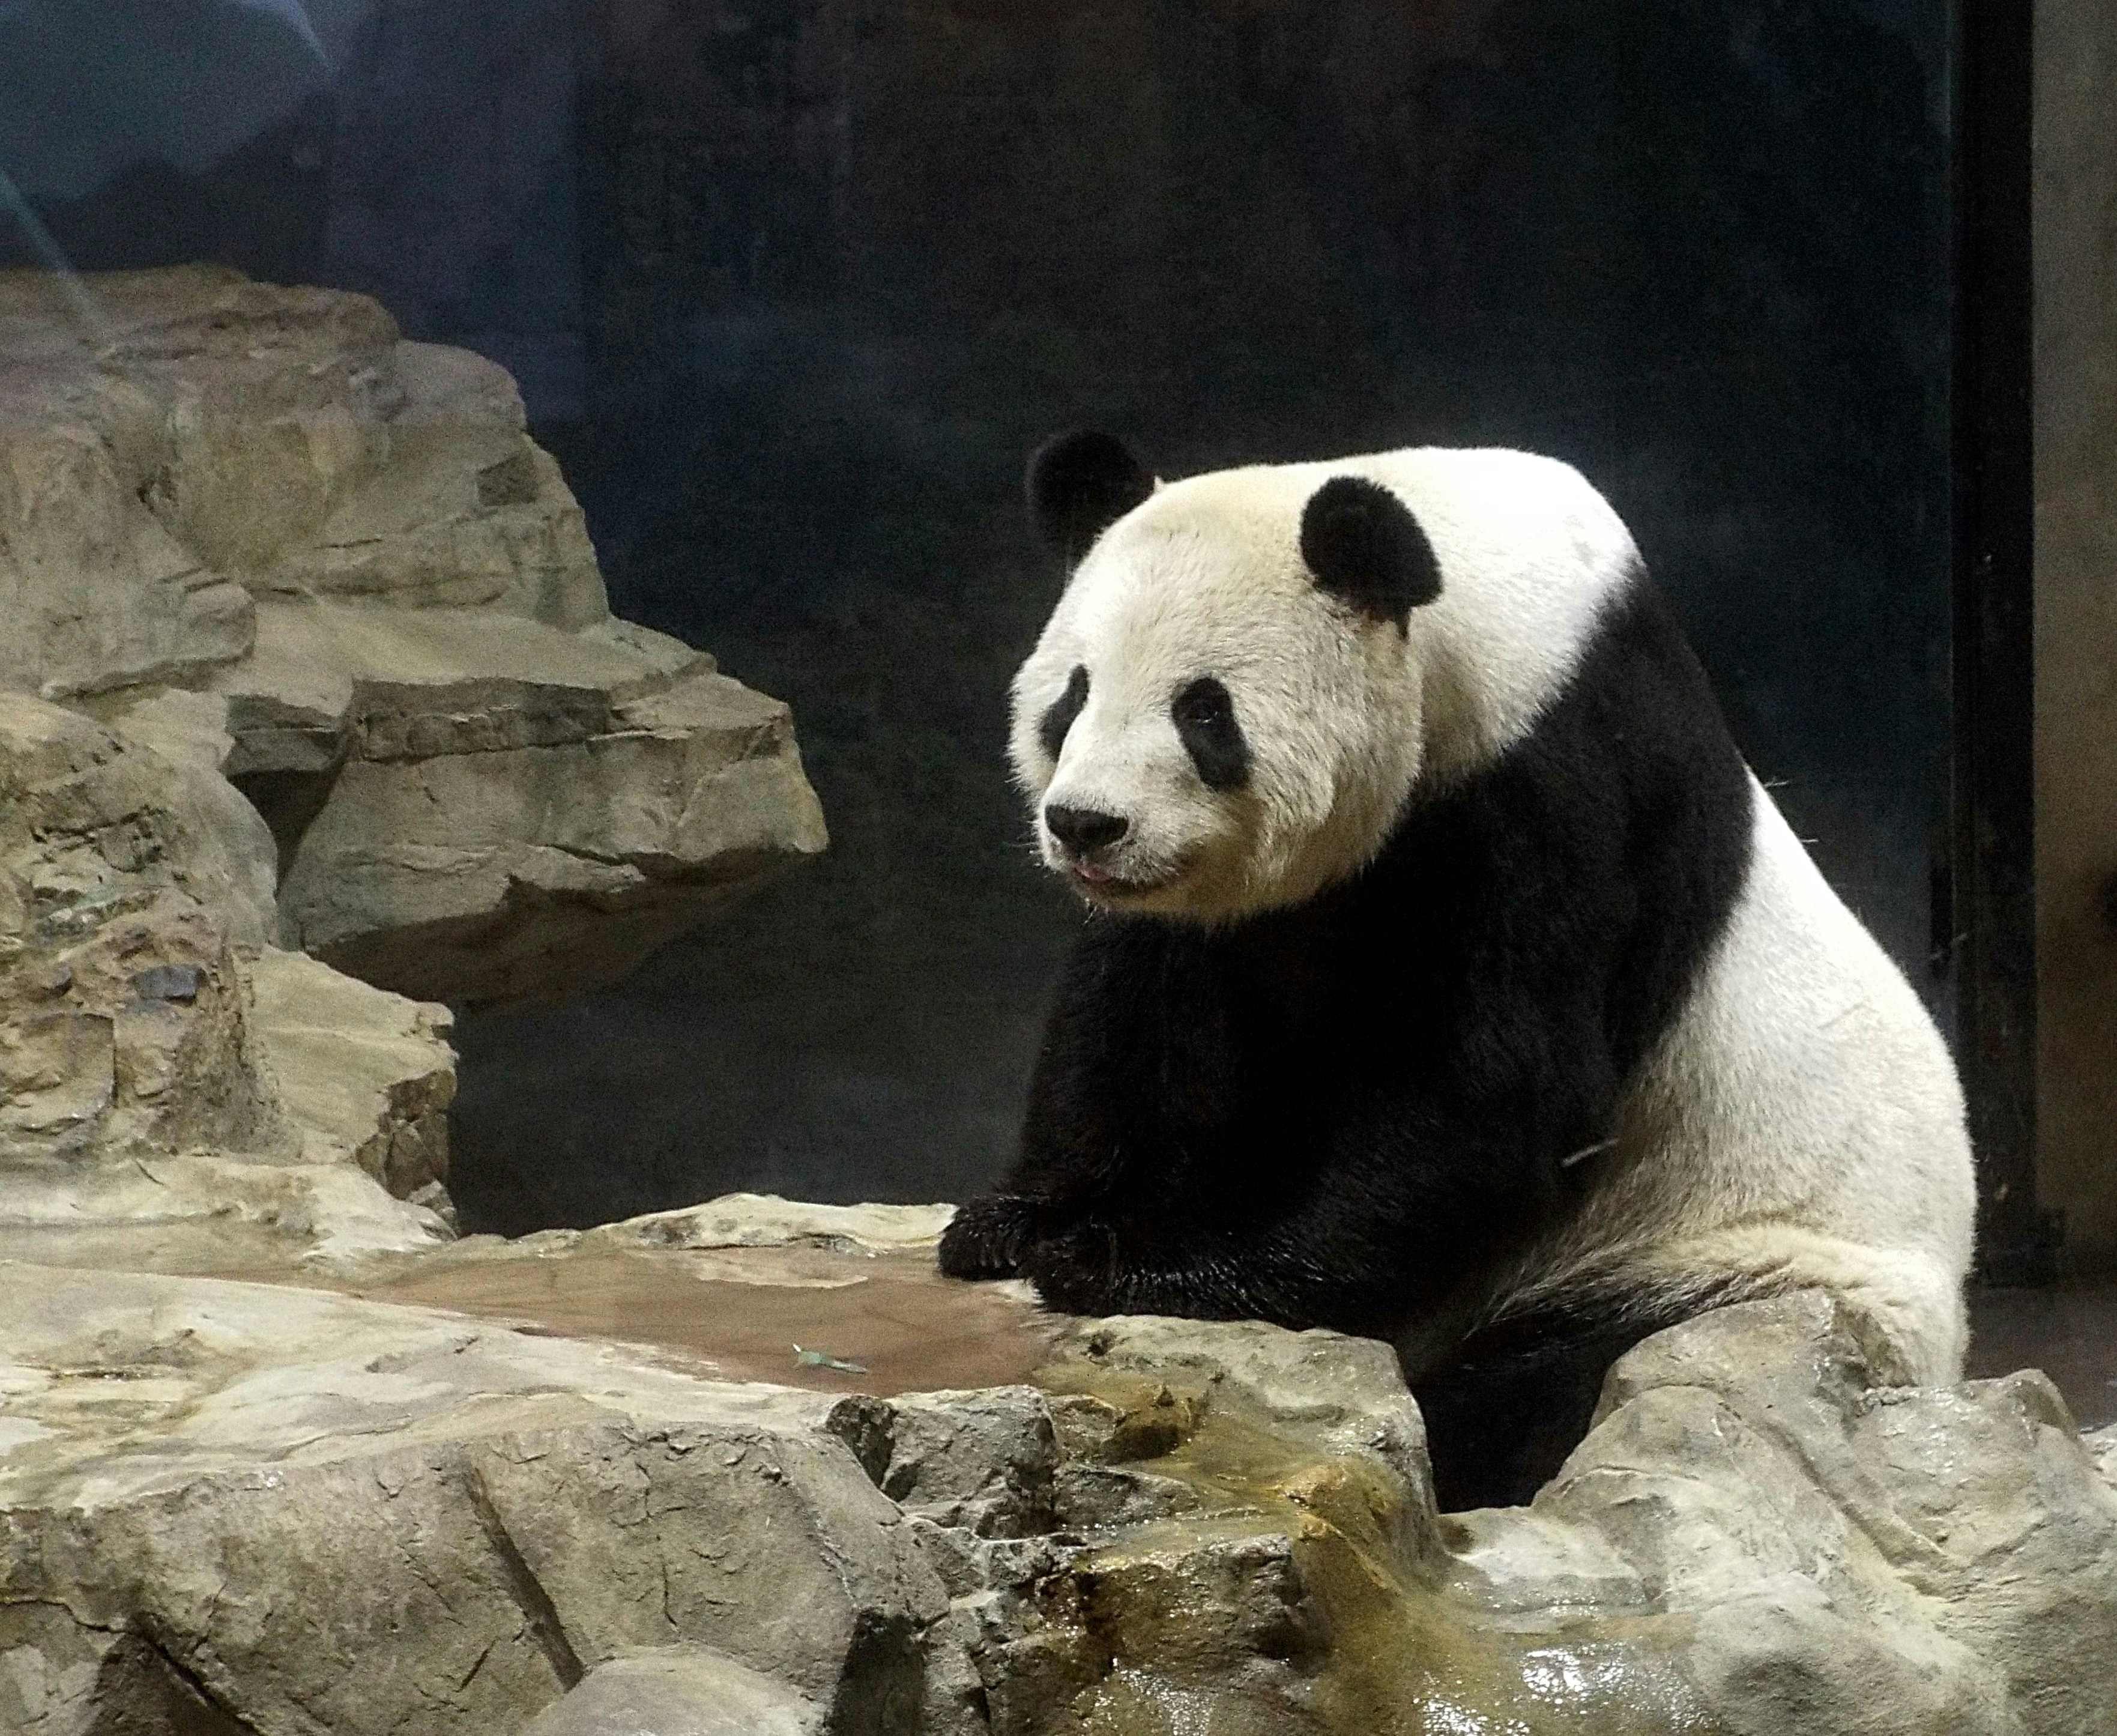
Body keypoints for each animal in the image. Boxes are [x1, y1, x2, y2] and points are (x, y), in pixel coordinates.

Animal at [938, 431, 1977, 1509]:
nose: (1085, 824)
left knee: (1561, 1377)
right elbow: (1143, 1017)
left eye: (1204, 713)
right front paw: (1022, 1222)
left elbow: (1492, 1097)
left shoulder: (1555, 785)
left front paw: (1150, 1272)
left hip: (1748, 1266)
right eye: (1071, 696)